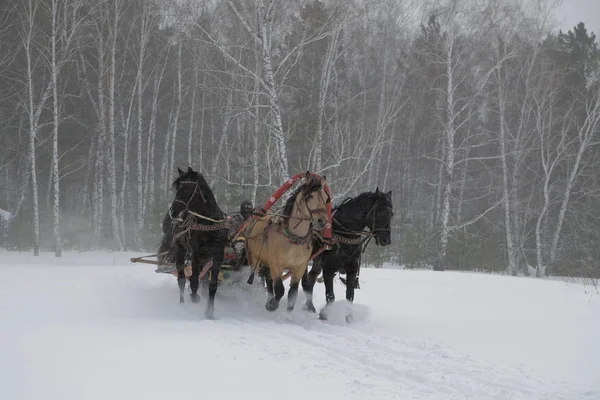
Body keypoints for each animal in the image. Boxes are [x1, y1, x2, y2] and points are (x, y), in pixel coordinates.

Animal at [158, 166, 229, 318]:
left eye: (185, 188)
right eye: (177, 187)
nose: (173, 212)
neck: (209, 221)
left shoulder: (218, 255)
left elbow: (212, 285)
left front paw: (209, 312)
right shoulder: (196, 253)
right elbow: (194, 281)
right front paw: (195, 298)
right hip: (181, 249)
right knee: (181, 279)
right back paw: (182, 304)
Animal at [243, 172, 330, 312]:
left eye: (326, 198)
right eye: (310, 196)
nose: (322, 221)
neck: (293, 239)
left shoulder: (299, 267)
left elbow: (292, 293)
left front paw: (287, 313)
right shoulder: (276, 264)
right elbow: (279, 290)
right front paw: (272, 305)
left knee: (267, 277)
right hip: (255, 259)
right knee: (258, 276)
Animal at [300, 188, 394, 322]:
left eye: (391, 214)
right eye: (381, 211)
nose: (386, 240)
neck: (344, 233)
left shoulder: (352, 269)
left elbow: (350, 295)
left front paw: (349, 317)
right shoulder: (329, 269)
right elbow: (330, 296)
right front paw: (324, 315)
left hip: (317, 261)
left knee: (311, 277)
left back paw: (309, 306)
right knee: (305, 280)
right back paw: (308, 306)